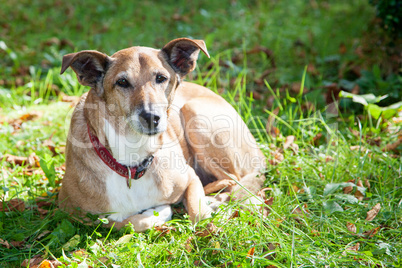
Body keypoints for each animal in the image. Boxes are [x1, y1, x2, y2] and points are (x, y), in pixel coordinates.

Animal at [58, 36, 266, 231]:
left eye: (161, 78)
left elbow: (198, 213)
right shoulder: (70, 211)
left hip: (195, 113)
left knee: (235, 180)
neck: (132, 158)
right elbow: (126, 222)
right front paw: (154, 213)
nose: (151, 117)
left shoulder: (190, 177)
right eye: (122, 82)